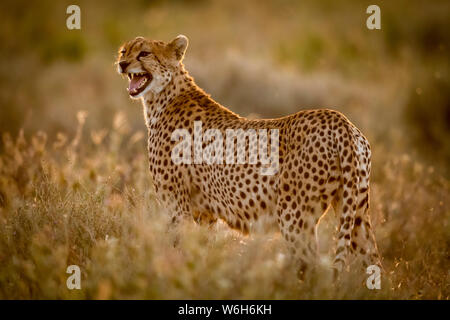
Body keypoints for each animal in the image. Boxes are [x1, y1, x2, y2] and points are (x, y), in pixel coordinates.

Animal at [117, 34, 384, 276]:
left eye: (144, 53)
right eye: (124, 51)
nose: (122, 64)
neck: (163, 96)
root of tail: (340, 120)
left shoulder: (177, 208)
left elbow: (178, 251)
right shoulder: (205, 214)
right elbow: (202, 253)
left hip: (294, 217)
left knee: (311, 268)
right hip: (356, 212)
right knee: (373, 264)